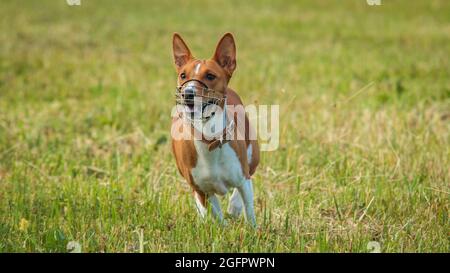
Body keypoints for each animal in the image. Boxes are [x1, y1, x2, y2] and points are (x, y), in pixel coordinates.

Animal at [170, 33, 260, 225]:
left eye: (210, 76)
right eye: (183, 75)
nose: (187, 93)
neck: (209, 137)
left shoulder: (243, 178)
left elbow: (249, 209)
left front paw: (252, 228)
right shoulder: (203, 190)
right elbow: (217, 217)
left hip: (252, 156)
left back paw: (234, 207)